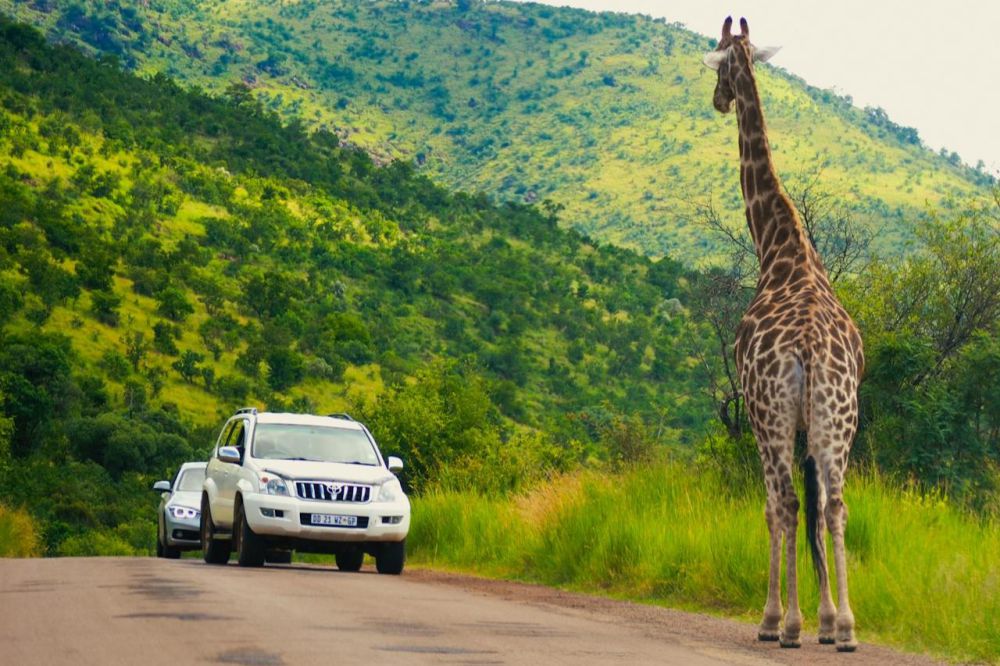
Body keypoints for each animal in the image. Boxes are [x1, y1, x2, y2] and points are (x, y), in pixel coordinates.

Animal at [704, 16, 868, 652]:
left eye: (719, 61)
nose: (718, 99)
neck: (776, 247)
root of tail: (809, 350)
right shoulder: (807, 424)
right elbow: (819, 509)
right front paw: (825, 619)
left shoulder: (757, 414)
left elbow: (775, 509)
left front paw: (781, 618)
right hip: (838, 418)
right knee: (835, 504)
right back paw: (846, 629)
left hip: (773, 414)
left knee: (791, 502)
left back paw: (784, 625)